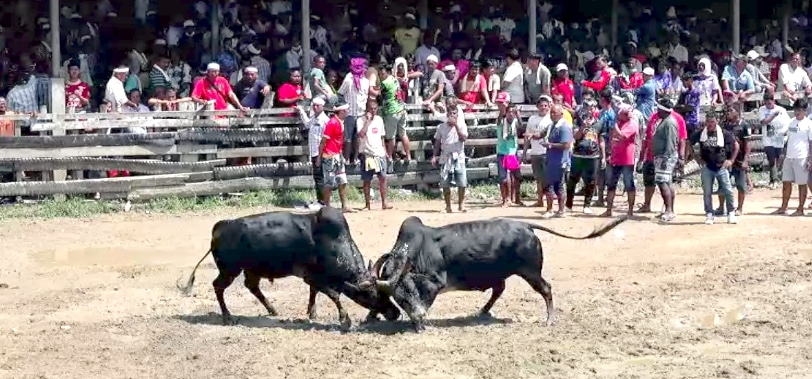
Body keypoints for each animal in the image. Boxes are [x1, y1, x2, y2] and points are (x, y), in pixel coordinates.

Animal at [181, 206, 402, 332]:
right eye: (372, 295)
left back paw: (271, 309)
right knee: (218, 286)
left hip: (250, 270)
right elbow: (334, 295)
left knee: (252, 286)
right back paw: (227, 317)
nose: (395, 313)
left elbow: (315, 293)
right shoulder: (314, 277)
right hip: (229, 270)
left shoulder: (313, 279)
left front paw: (312, 312)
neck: (333, 242)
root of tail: (220, 226)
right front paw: (344, 320)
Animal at [360, 217, 628, 332]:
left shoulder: (435, 282)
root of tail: (526, 225)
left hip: (531, 271)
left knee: (546, 289)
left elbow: (424, 301)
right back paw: (482, 311)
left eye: (409, 293)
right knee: (499, 290)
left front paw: (419, 322)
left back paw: (549, 319)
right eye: (399, 298)